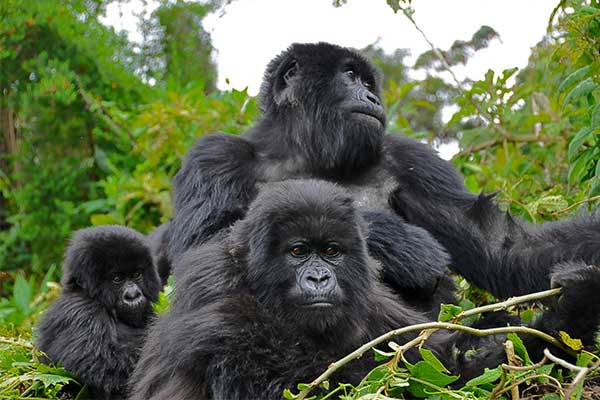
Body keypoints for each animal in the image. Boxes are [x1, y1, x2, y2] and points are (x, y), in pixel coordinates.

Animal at [130, 181, 600, 400]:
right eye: (298, 252)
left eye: (331, 251)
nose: (319, 279)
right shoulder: (216, 290)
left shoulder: (374, 303)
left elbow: (446, 367)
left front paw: (575, 309)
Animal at [165, 41, 600, 310]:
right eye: (349, 76)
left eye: (367, 81)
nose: (373, 97)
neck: (304, 149)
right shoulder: (214, 156)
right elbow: (202, 253)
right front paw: (395, 239)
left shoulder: (413, 161)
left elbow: (503, 246)